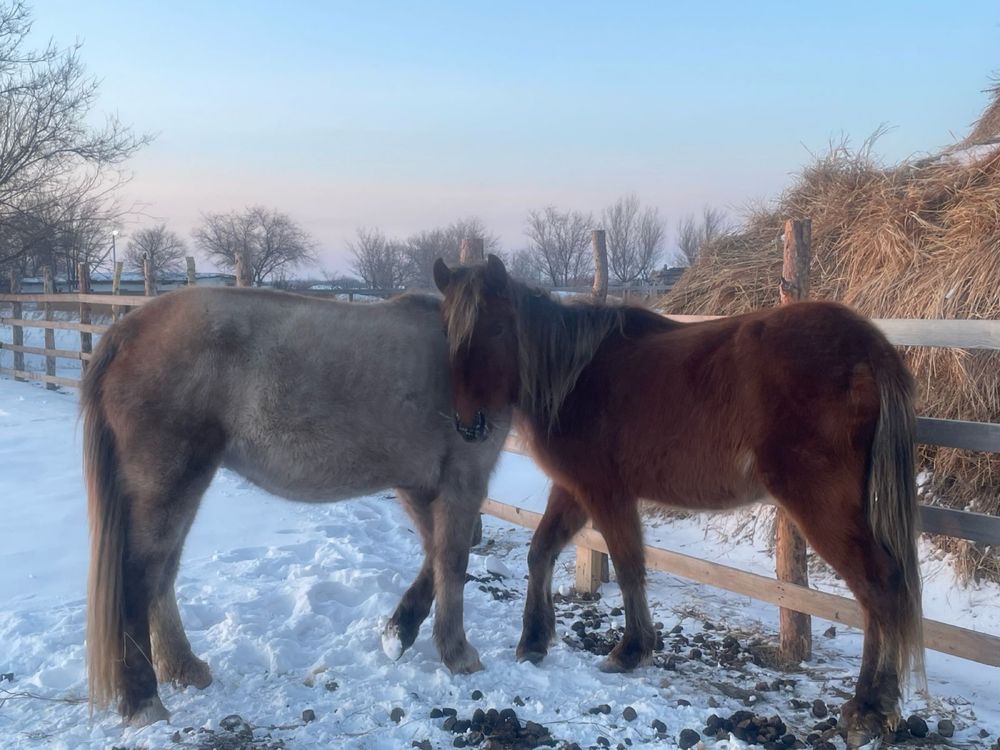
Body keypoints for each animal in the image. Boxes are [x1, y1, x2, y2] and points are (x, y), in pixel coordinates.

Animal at [80, 284, 508, 724]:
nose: (473, 423)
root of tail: (125, 331)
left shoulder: (418, 484)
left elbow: (436, 555)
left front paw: (399, 632)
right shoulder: (461, 481)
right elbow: (453, 560)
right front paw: (456, 652)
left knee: (162, 574)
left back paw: (183, 667)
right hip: (168, 483)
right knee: (139, 577)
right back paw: (144, 700)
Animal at [434, 256, 924, 748]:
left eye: (498, 328)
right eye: (449, 333)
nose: (468, 425)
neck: (575, 376)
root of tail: (866, 342)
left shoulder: (604, 492)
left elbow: (628, 565)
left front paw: (631, 649)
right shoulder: (573, 491)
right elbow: (541, 552)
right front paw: (534, 639)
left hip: (821, 504)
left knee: (878, 586)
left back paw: (868, 708)